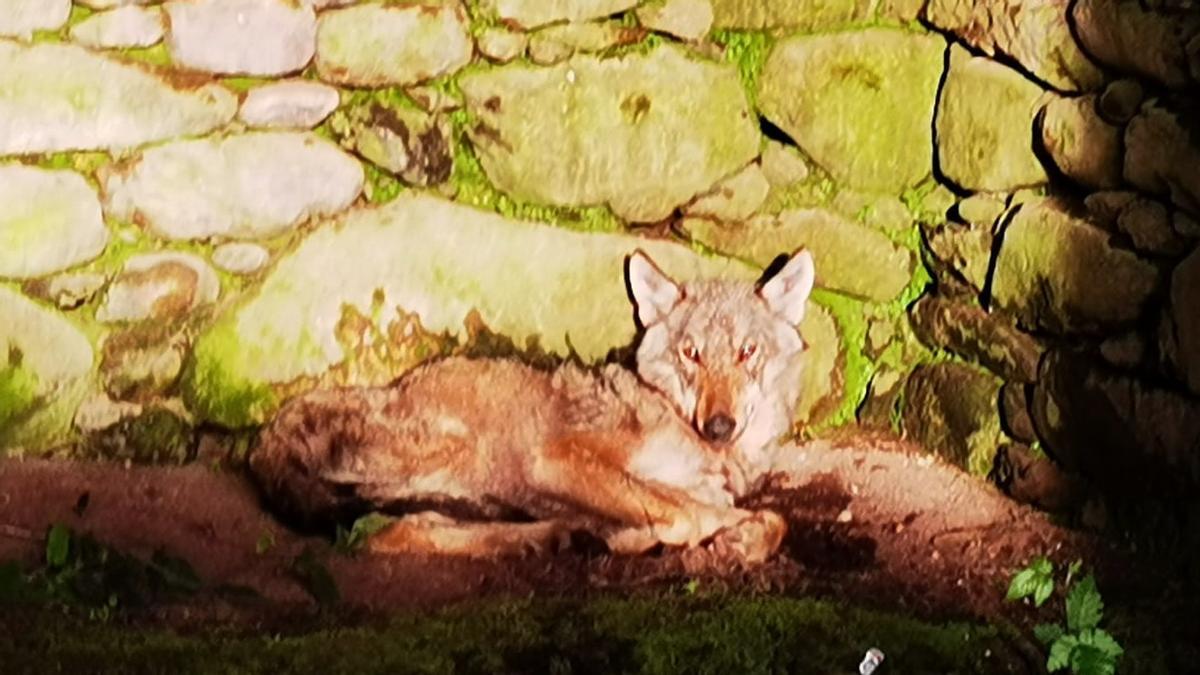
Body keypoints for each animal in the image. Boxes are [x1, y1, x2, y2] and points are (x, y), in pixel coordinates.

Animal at [252, 247, 816, 562]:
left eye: (747, 352)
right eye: (691, 353)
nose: (719, 425)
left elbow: (770, 519)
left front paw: (745, 538)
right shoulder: (556, 458)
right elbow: (685, 513)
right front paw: (650, 536)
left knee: (416, 524)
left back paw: (550, 536)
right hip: (458, 453)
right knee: (388, 533)